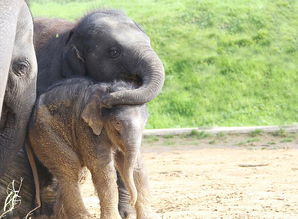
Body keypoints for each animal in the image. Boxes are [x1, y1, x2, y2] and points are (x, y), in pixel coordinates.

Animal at [28, 78, 157, 219]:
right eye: (117, 123)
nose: (131, 201)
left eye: (145, 123)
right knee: (69, 168)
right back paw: (83, 216)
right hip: (45, 134)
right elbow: (102, 168)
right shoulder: (86, 128)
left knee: (78, 173)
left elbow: (137, 166)